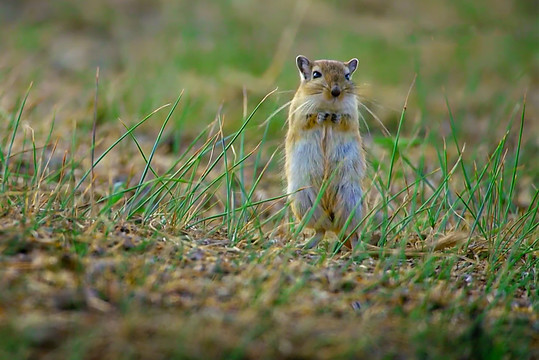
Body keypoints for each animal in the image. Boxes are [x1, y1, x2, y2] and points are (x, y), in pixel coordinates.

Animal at [284, 54, 364, 249]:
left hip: (351, 202)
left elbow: (344, 120)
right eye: (316, 74)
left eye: (347, 76)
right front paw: (322, 116)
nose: (336, 91)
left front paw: (334, 117)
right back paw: (302, 246)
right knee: (321, 231)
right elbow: (310, 119)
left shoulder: (352, 115)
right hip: (304, 203)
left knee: (352, 234)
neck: (329, 107)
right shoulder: (299, 115)